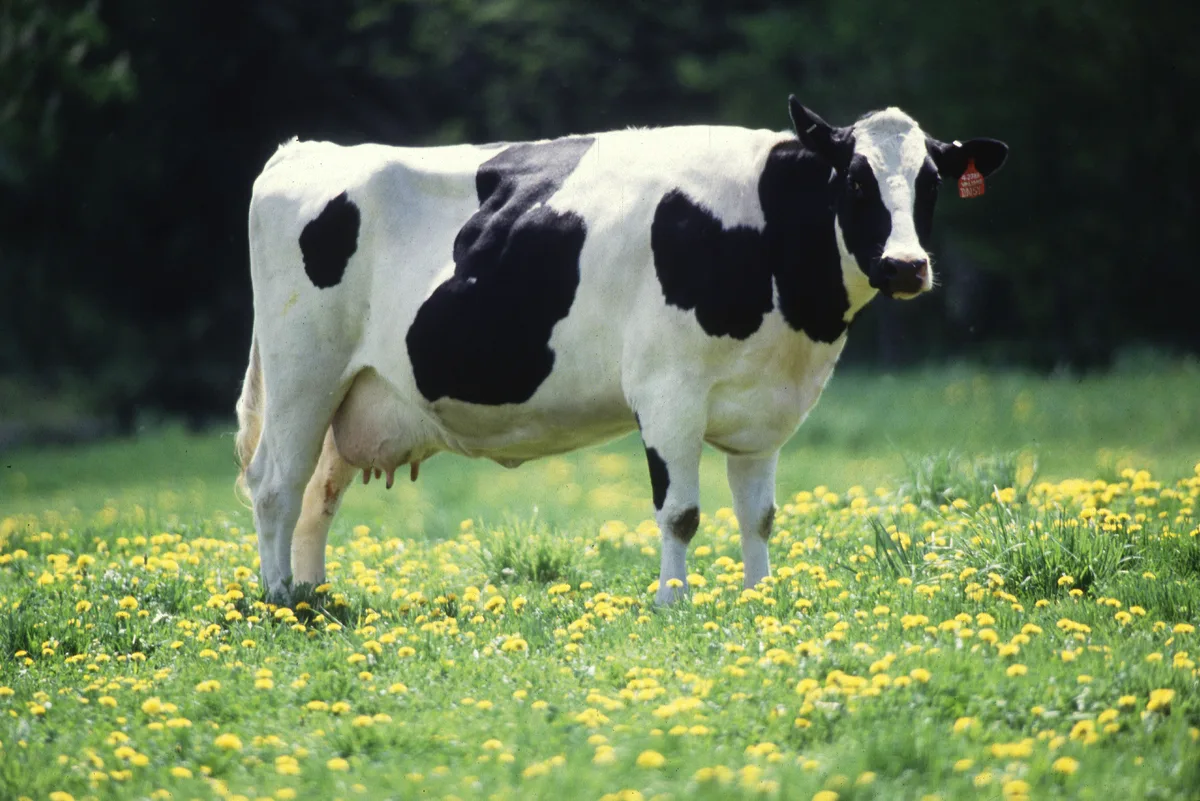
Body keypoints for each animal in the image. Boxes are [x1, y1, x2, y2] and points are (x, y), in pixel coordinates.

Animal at [235, 97, 1008, 604]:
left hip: (353, 392)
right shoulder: (668, 391)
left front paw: (760, 597)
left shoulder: (764, 408)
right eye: (855, 178)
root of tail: (304, 150)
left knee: (318, 493)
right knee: (276, 483)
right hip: (303, 371)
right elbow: (681, 512)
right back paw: (280, 600)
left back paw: (314, 595)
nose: (906, 265)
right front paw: (673, 602)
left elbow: (758, 514)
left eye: (931, 182)